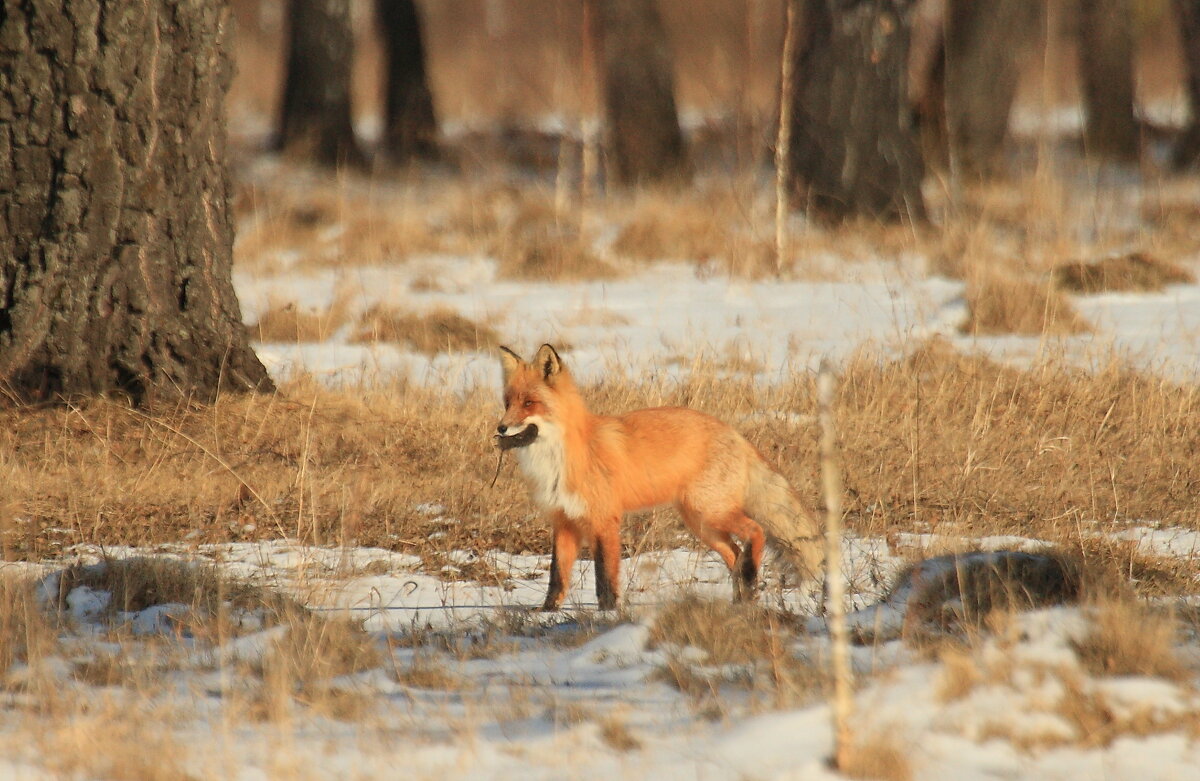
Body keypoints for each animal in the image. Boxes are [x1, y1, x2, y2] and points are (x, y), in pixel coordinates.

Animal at [496, 347, 825, 611]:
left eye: (530, 403)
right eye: (507, 402)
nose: (500, 428)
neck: (560, 457)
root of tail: (735, 433)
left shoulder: (604, 521)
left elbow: (605, 576)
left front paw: (607, 612)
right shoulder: (564, 522)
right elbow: (557, 576)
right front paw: (546, 613)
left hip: (710, 512)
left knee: (755, 533)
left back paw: (751, 580)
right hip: (701, 524)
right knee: (734, 555)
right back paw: (742, 599)